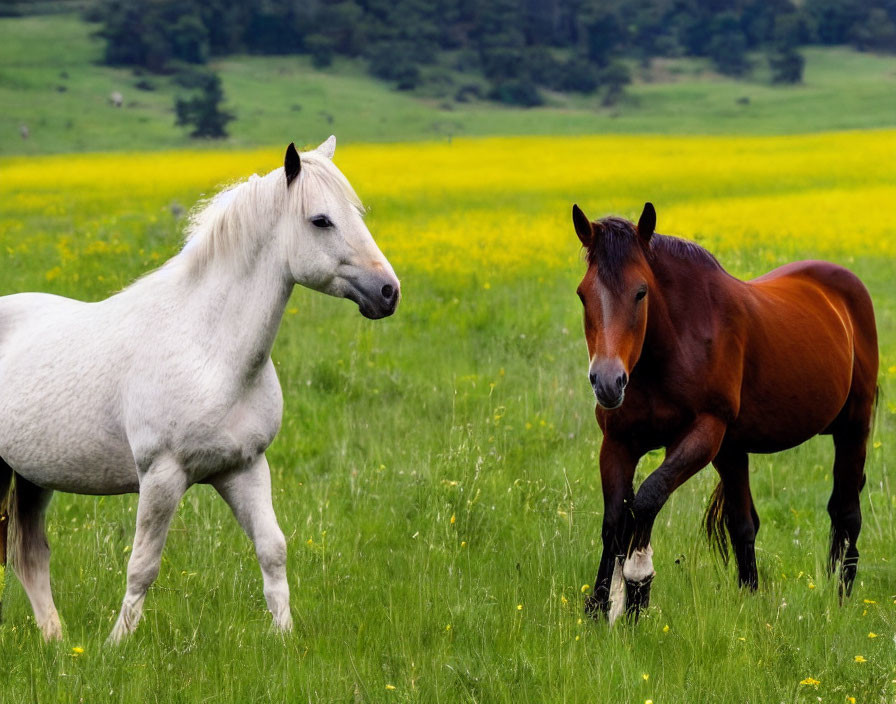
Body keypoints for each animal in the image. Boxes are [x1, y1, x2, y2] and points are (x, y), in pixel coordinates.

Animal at [0, 138, 400, 644]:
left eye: (356, 212)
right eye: (321, 220)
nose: (388, 291)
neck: (210, 351)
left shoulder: (244, 468)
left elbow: (273, 550)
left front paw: (285, 638)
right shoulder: (162, 476)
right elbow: (142, 565)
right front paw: (116, 645)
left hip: (31, 477)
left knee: (30, 556)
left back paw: (58, 642)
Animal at [576, 202, 876, 620]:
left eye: (640, 292)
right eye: (583, 295)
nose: (607, 382)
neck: (670, 346)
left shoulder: (703, 433)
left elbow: (648, 497)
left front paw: (637, 584)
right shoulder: (619, 443)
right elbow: (616, 518)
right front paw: (601, 604)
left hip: (854, 427)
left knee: (846, 514)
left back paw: (839, 599)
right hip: (733, 451)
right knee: (745, 525)